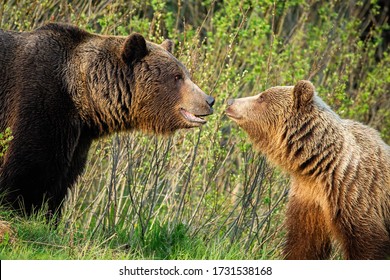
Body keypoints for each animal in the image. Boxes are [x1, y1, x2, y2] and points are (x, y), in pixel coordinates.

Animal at [0, 24, 213, 215]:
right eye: (177, 77)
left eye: (186, 74)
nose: (209, 100)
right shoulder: (39, 102)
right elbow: (27, 172)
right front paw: (20, 211)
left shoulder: (78, 138)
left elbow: (62, 182)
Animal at [225, 80, 390, 260]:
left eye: (262, 97)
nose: (230, 102)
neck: (322, 165)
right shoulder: (309, 198)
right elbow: (304, 244)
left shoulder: (356, 195)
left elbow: (366, 246)